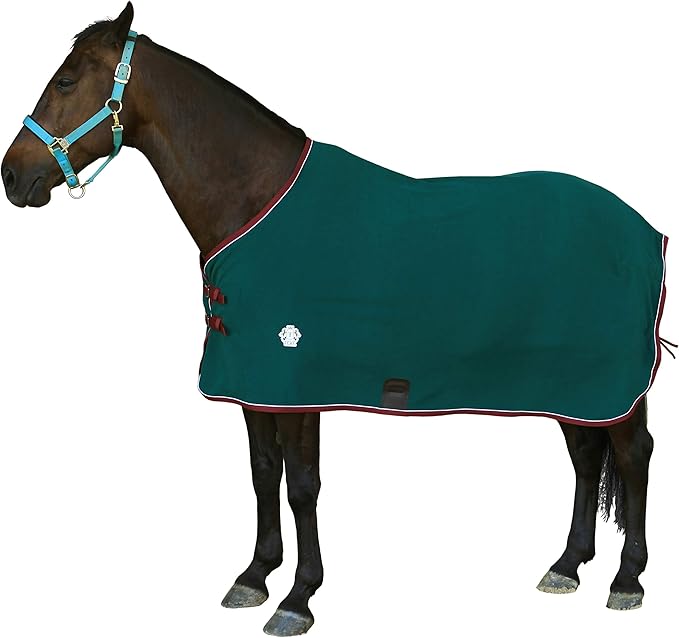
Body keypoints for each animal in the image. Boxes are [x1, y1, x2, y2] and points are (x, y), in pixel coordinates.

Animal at [2, 3, 670, 635]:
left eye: (65, 81)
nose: (13, 175)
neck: (257, 200)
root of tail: (644, 230)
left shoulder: (297, 384)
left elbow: (302, 485)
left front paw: (297, 599)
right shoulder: (254, 382)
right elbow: (263, 473)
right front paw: (255, 576)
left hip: (611, 383)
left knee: (633, 455)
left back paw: (627, 580)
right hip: (573, 381)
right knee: (586, 456)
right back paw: (567, 566)